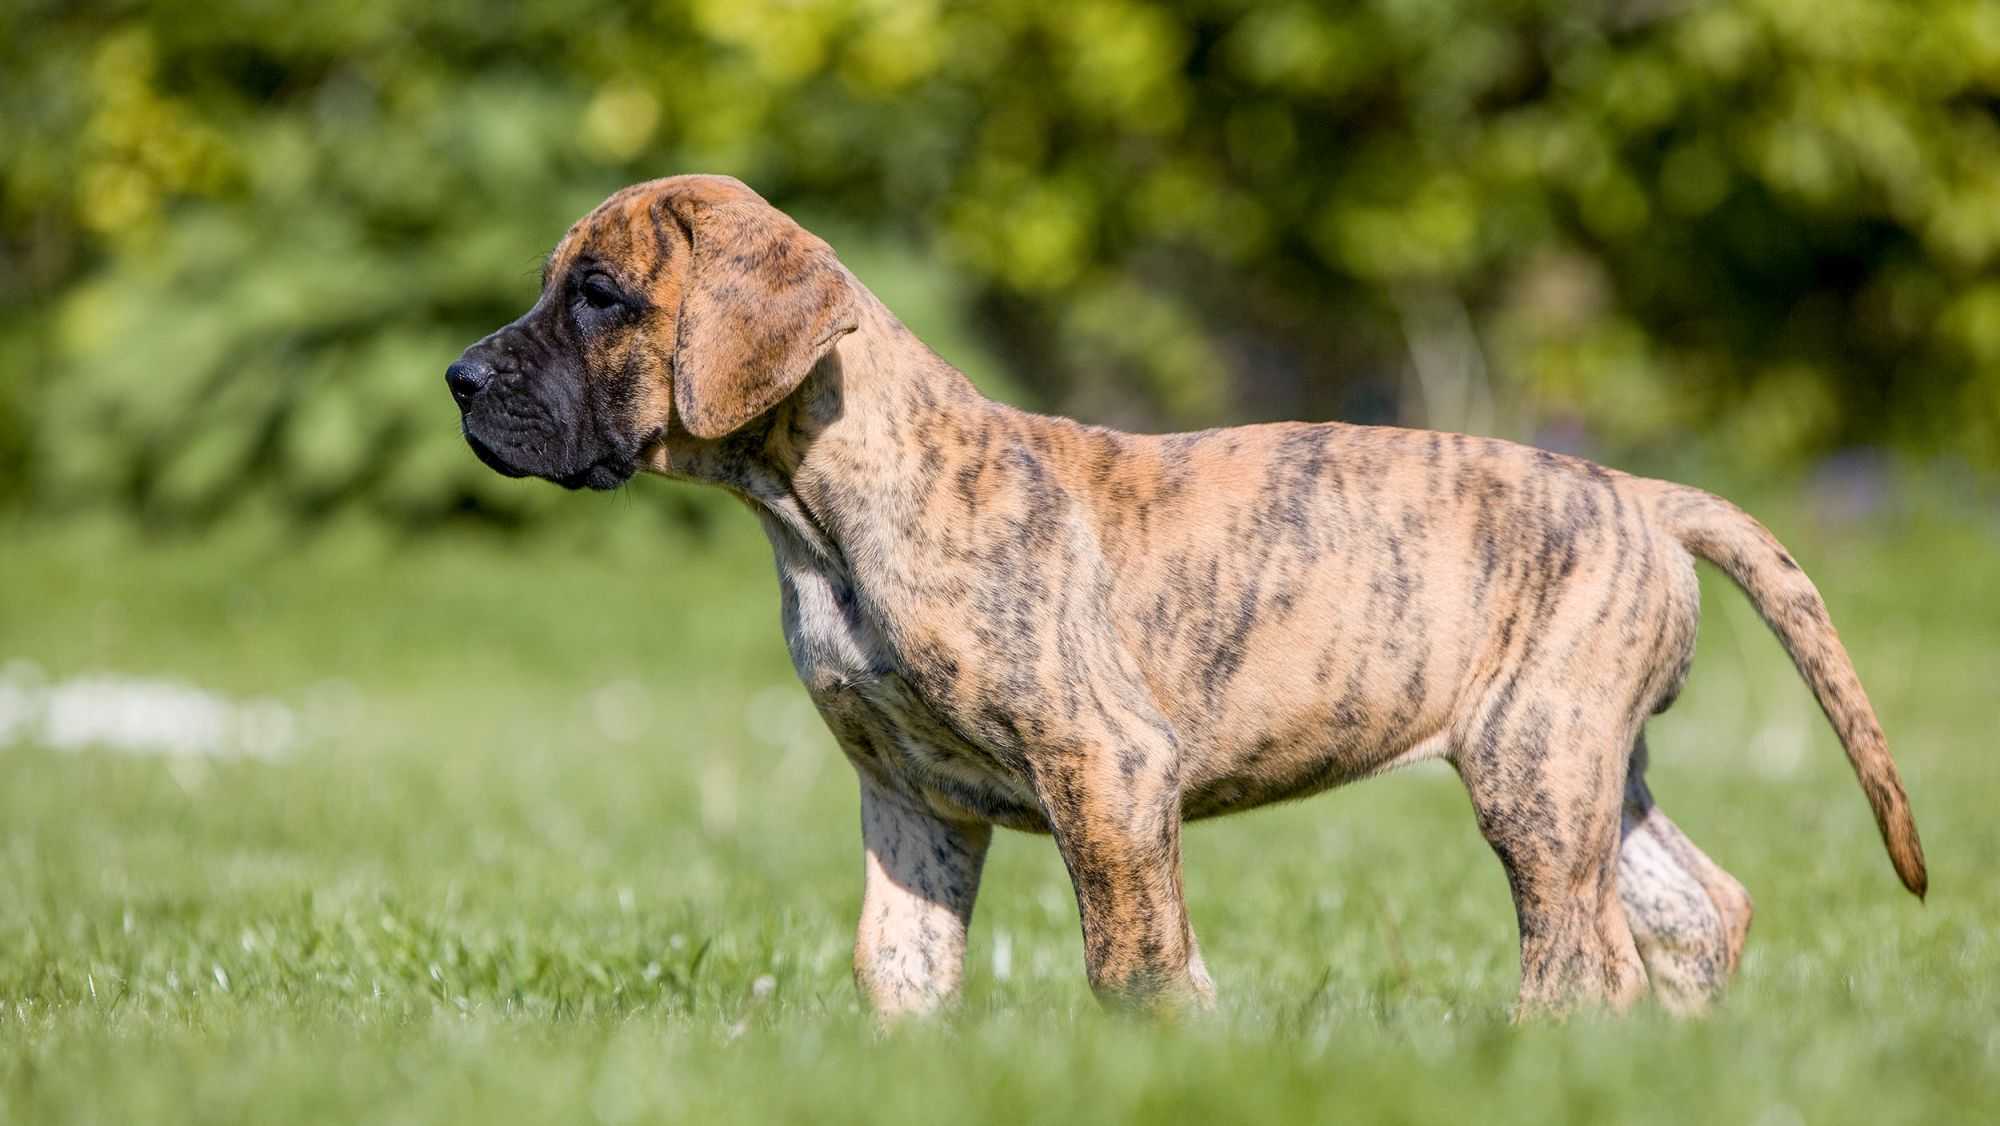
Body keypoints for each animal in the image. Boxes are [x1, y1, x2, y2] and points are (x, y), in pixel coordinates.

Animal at [450, 174, 1920, 1024]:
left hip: (1535, 770)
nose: (459, 378)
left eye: (599, 298)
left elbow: (1132, 956)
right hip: (1581, 764)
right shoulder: (911, 800)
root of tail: (1638, 492)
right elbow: (902, 963)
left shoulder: (1106, 769)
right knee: (1697, 908)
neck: (820, 509)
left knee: (1583, 957)